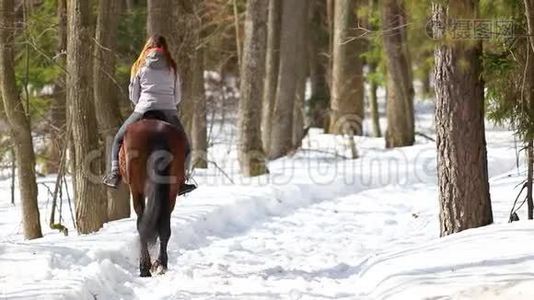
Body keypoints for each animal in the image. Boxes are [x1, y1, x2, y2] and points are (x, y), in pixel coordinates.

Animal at [120, 114, 188, 276]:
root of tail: (158, 132)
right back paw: (161, 264)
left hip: (136, 188)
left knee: (141, 224)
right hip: (171, 191)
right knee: (164, 226)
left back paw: (145, 266)